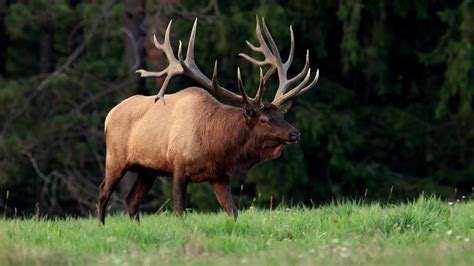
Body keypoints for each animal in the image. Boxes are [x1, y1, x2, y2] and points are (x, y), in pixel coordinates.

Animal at [96, 16, 318, 223]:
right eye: (263, 119)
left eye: (281, 115)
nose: (295, 133)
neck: (214, 145)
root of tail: (109, 115)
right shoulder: (178, 167)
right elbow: (180, 211)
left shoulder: (219, 175)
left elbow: (233, 212)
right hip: (115, 158)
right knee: (103, 193)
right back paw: (101, 226)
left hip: (147, 170)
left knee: (131, 200)